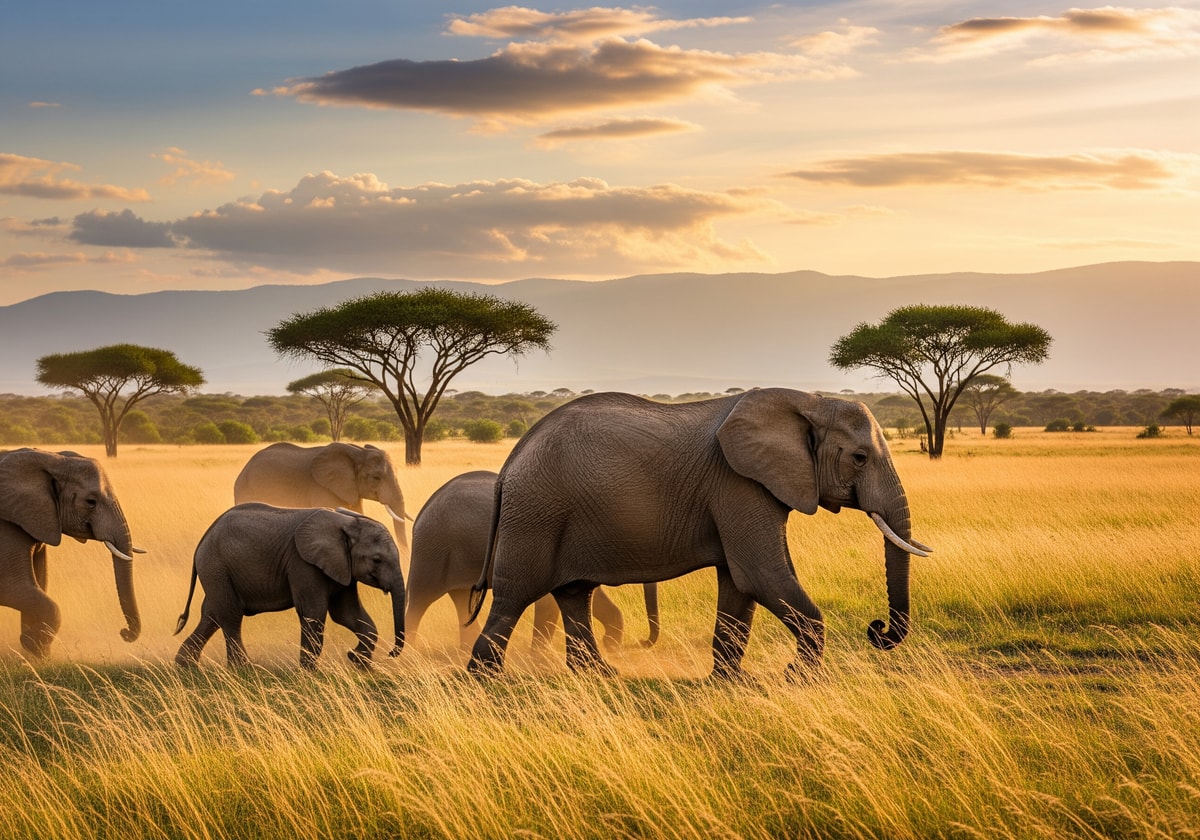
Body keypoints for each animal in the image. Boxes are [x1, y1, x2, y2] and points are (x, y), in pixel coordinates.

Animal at [0, 448, 142, 656]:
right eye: (91, 502)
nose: (124, 633)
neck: (52, 459)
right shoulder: (6, 528)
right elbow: (12, 588)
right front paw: (35, 646)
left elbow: (39, 584)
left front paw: (33, 651)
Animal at [174, 503, 406, 670]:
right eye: (377, 560)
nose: (391, 654)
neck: (347, 522)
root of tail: (203, 539)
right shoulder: (302, 564)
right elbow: (314, 612)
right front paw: (310, 673)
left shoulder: (342, 567)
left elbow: (347, 613)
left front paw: (361, 664)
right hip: (216, 566)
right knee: (230, 614)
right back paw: (244, 669)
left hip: (217, 571)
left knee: (212, 615)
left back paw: (185, 666)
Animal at [407, 470, 659, 653]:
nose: (639, 642)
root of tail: (422, 511)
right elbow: (551, 602)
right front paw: (539, 657)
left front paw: (610, 646)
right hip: (432, 549)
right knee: (421, 599)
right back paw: (409, 652)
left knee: (460, 597)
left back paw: (464, 649)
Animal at [465, 389, 931, 680]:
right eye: (859, 457)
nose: (877, 631)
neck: (809, 401)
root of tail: (510, 463)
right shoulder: (737, 483)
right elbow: (761, 575)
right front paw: (797, 679)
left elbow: (739, 585)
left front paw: (730, 681)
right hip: (535, 514)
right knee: (514, 596)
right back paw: (486, 681)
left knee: (574, 594)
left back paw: (601, 675)